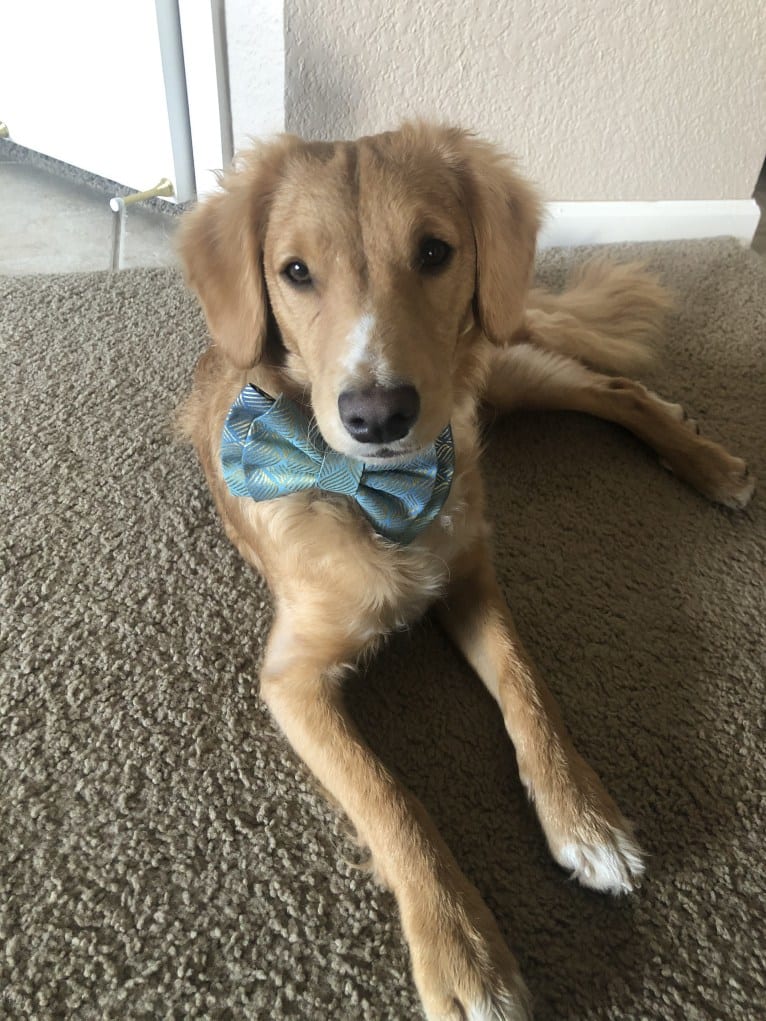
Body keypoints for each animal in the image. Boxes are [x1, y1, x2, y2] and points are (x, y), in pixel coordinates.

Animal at [178, 123, 755, 1016]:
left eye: (434, 251)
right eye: (296, 271)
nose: (378, 415)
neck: (381, 495)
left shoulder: (474, 576)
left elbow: (526, 685)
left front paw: (581, 816)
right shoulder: (291, 679)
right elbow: (392, 800)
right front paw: (463, 951)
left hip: (498, 367)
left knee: (613, 385)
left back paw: (707, 460)